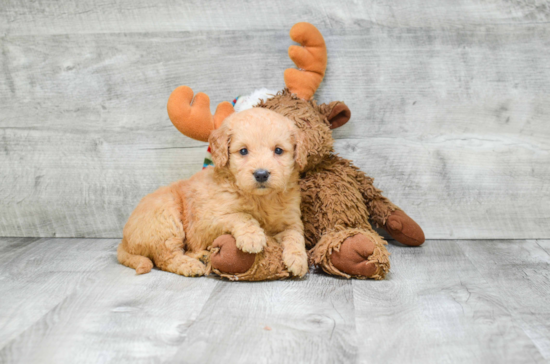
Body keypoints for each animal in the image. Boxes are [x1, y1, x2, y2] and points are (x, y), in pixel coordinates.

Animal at [117, 106, 308, 278]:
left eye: (278, 150)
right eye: (243, 151)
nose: (261, 174)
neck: (260, 199)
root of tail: (124, 240)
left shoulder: (291, 220)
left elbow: (296, 235)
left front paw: (298, 260)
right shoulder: (207, 221)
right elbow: (241, 215)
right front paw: (252, 237)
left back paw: (202, 256)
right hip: (165, 219)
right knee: (166, 257)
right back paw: (191, 265)